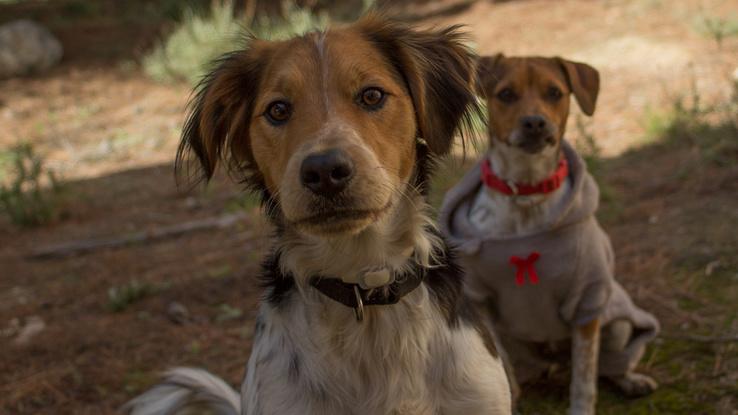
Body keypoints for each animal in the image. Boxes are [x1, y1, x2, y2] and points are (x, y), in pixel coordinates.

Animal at [440, 55, 660, 415]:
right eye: (506, 94)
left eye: (554, 92)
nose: (534, 123)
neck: (526, 195)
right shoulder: (481, 300)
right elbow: (504, 369)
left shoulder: (587, 302)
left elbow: (584, 379)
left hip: (617, 325)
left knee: (607, 364)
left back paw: (630, 379)